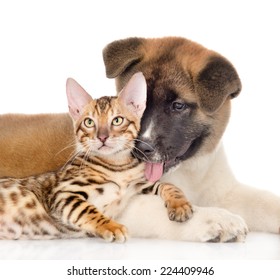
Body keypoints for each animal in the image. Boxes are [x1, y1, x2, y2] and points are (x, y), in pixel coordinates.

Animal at [0, 73, 192, 242]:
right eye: (89, 122)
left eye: (117, 120)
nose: (102, 137)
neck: (118, 167)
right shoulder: (63, 193)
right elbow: (87, 210)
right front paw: (112, 227)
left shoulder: (139, 184)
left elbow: (167, 185)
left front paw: (180, 205)